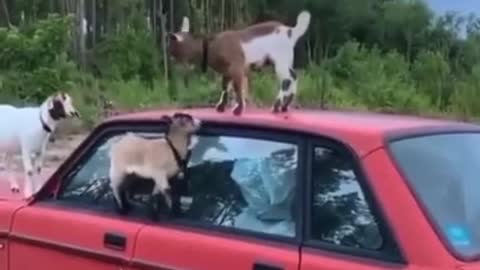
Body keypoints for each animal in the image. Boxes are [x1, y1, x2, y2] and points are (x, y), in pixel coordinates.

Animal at [168, 10, 312, 116]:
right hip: (286, 59)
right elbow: (224, 87)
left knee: (287, 79)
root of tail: (291, 32)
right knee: (294, 76)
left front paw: (238, 109)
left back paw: (276, 107)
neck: (210, 47)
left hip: (279, 59)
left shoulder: (236, 67)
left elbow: (237, 88)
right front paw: (221, 107)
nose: (170, 59)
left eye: (173, 48)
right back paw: (285, 106)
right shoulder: (226, 71)